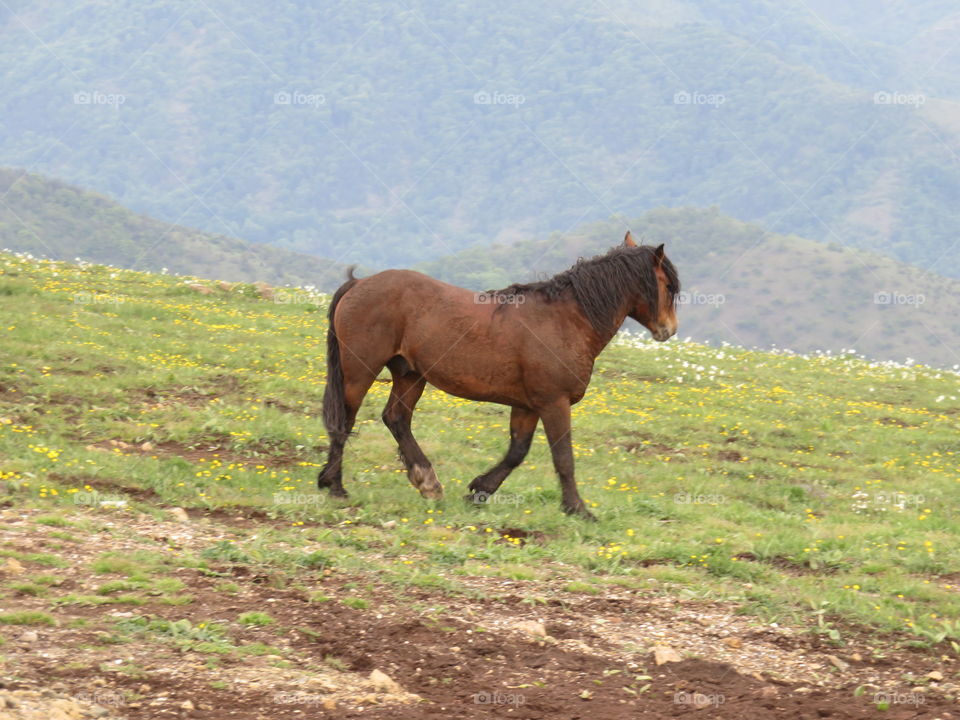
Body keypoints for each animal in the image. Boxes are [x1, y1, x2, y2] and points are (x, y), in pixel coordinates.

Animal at [317, 231, 680, 519]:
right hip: (359, 371)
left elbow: (517, 452)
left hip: (409, 375)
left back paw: (426, 481)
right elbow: (563, 458)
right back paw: (336, 487)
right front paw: (577, 509)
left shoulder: (527, 406)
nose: (669, 330)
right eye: (666, 284)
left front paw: (479, 490)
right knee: (345, 422)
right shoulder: (554, 402)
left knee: (397, 419)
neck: (566, 320)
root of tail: (359, 283)